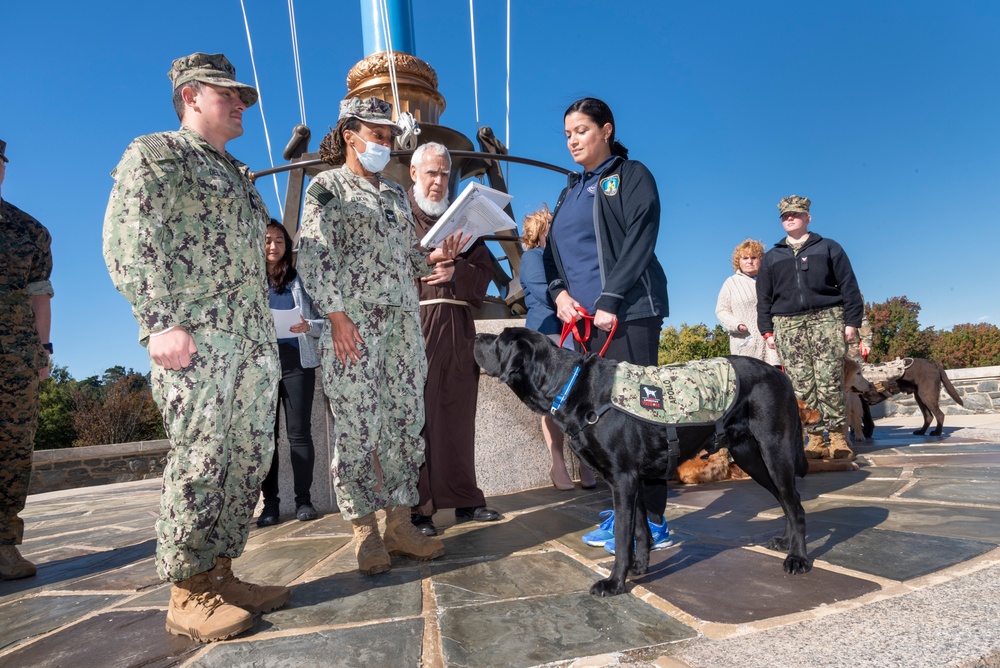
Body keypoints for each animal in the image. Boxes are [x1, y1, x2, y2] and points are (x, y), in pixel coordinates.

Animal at [472, 328, 808, 596]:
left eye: (499, 340)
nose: (475, 336)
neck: (569, 385)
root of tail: (780, 373)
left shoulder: (622, 479)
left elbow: (623, 535)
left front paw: (614, 582)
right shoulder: (636, 478)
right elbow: (640, 530)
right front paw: (639, 567)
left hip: (773, 450)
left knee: (794, 504)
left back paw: (798, 559)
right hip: (751, 456)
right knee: (790, 500)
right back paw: (787, 543)